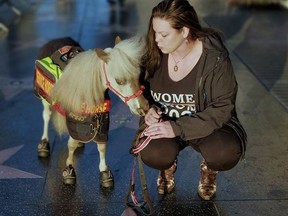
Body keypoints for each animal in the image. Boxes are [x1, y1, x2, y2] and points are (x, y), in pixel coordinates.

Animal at [35, 35, 148, 187]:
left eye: (138, 76)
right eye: (119, 81)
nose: (144, 107)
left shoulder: (101, 121)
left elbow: (101, 146)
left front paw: (104, 172)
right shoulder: (75, 118)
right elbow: (71, 145)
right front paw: (69, 169)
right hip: (45, 99)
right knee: (46, 116)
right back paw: (44, 144)